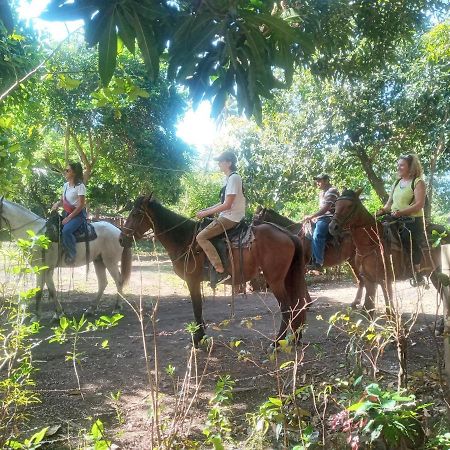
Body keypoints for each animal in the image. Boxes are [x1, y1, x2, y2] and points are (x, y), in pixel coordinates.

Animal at [0, 197, 132, 320]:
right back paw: (91, 309)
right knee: (103, 283)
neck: (36, 235)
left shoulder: (41, 268)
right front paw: (59, 313)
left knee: (118, 281)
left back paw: (116, 307)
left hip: (110, 262)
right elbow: (52, 290)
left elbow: (39, 291)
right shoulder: (47, 269)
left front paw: (37, 316)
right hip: (98, 261)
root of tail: (119, 231)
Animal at [119, 195, 310, 346]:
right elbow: (199, 309)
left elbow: (197, 308)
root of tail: (287, 234)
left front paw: (198, 339)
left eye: (136, 214)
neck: (185, 239)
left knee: (286, 308)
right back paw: (295, 338)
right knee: (298, 305)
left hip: (275, 280)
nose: (121, 239)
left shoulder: (192, 281)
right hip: (286, 278)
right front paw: (201, 336)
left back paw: (277, 342)